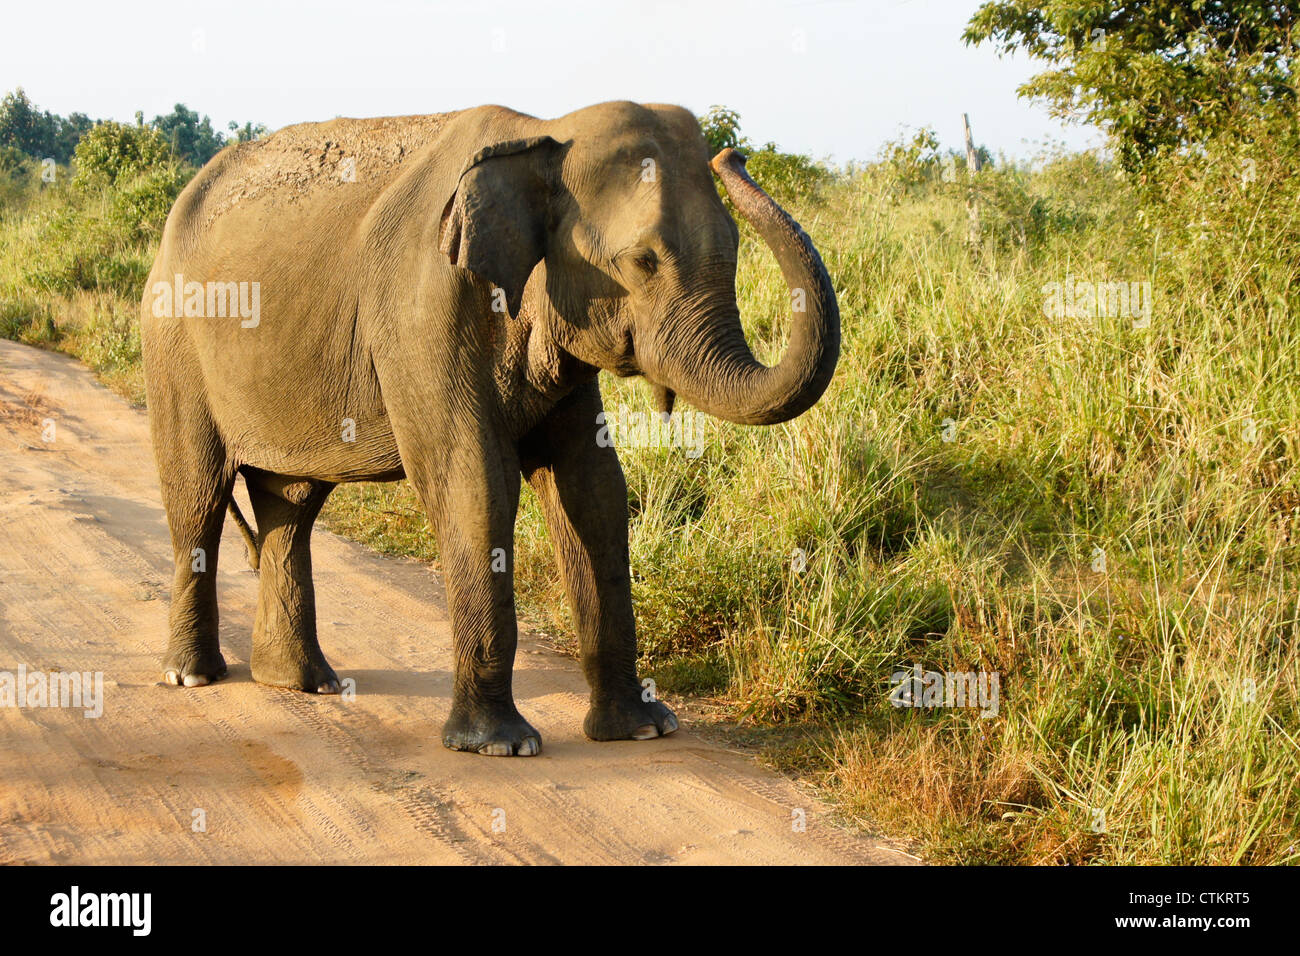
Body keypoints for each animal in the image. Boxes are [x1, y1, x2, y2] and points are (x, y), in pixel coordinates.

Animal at [140, 100, 839, 756]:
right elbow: (474, 482)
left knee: (292, 505)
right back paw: (194, 676)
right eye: (642, 262)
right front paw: (501, 745)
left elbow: (593, 490)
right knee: (198, 498)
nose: (733, 157)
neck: (544, 135)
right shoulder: (424, 306)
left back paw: (303, 683)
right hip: (172, 340)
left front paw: (640, 730)